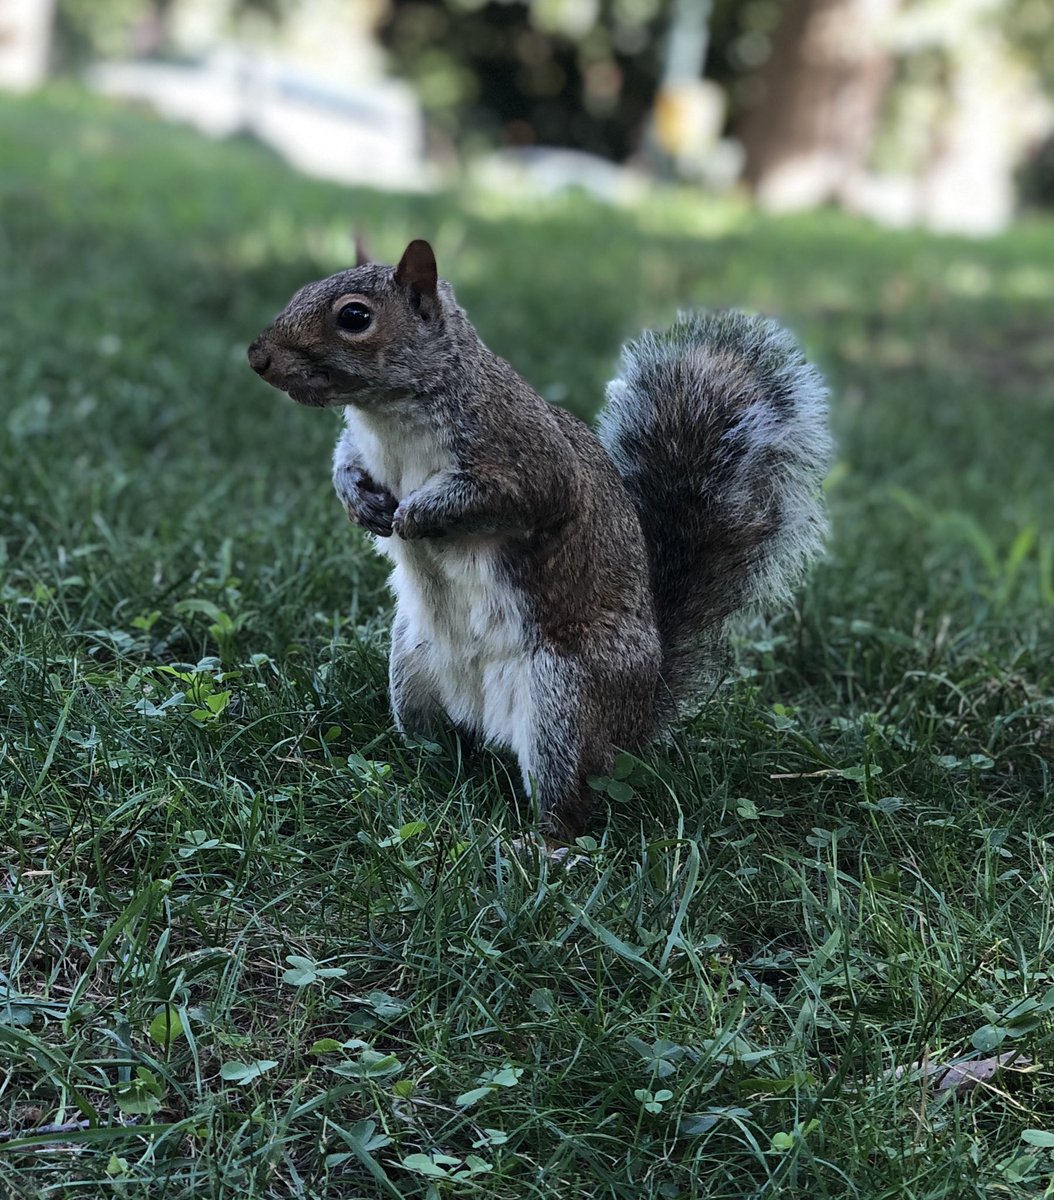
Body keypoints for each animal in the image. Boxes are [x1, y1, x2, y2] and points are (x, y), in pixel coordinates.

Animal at [248, 239, 832, 838]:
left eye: (354, 317)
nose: (257, 357)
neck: (387, 416)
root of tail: (634, 723)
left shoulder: (523, 459)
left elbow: (507, 497)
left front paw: (415, 517)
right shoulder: (364, 445)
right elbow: (345, 460)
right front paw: (359, 502)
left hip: (563, 703)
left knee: (568, 802)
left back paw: (535, 843)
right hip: (411, 670)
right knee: (436, 745)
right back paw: (409, 777)